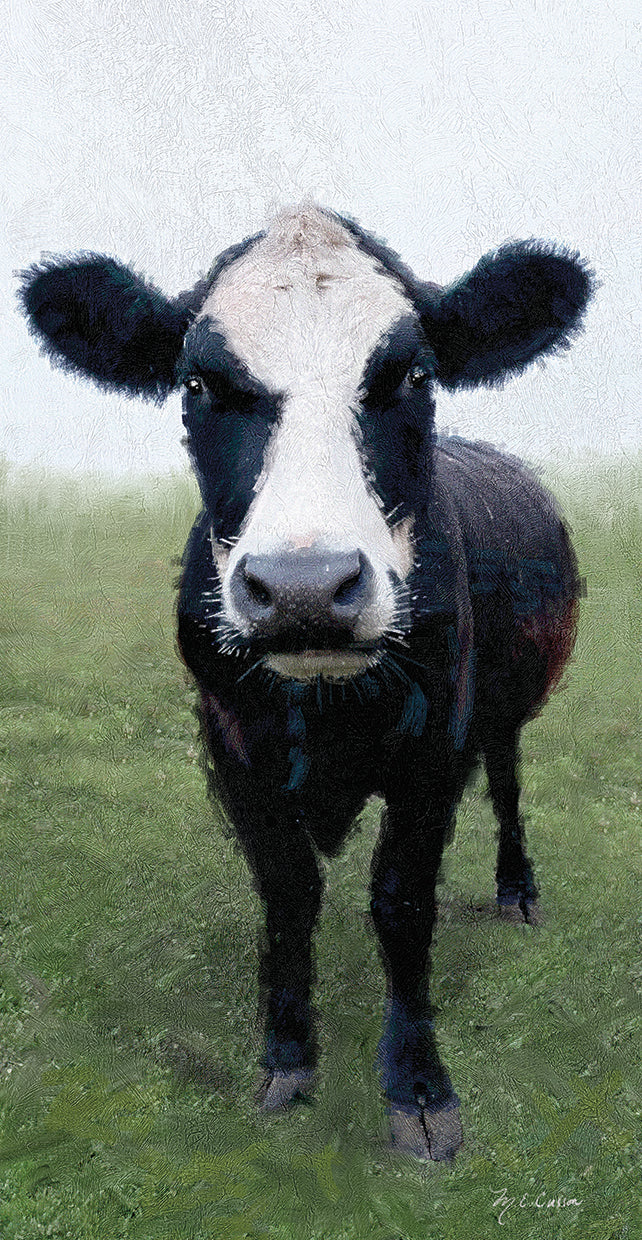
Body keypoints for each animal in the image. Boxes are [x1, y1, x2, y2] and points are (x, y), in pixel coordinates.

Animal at [19, 204, 593, 1160]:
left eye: (413, 373)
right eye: (199, 384)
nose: (304, 590)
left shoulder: (433, 750)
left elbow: (401, 902)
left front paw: (419, 1089)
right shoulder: (228, 746)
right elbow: (287, 894)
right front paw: (287, 1060)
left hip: (506, 710)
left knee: (508, 781)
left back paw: (518, 891)